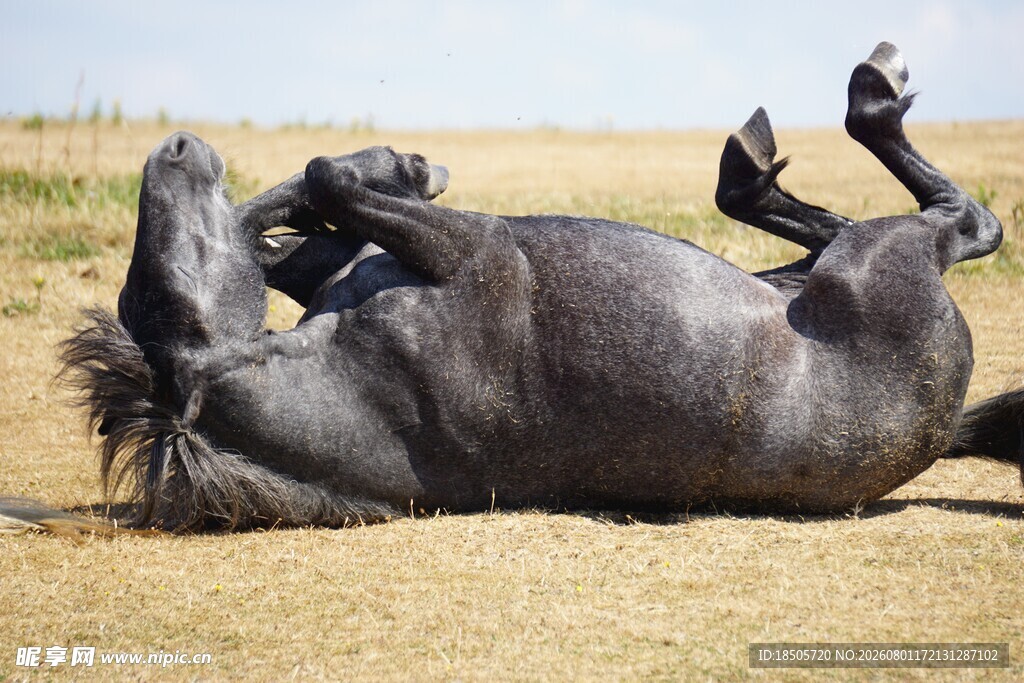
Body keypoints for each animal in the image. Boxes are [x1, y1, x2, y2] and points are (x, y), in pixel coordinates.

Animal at [55, 42, 1020, 531]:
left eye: (148, 291)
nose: (177, 148)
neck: (355, 388)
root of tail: (941, 424)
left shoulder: (347, 262)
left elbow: (305, 207)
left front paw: (395, 169)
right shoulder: (481, 252)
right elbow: (328, 179)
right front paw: (401, 165)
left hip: (800, 274)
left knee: (819, 222)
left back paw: (755, 164)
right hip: (876, 261)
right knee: (965, 220)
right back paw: (866, 91)